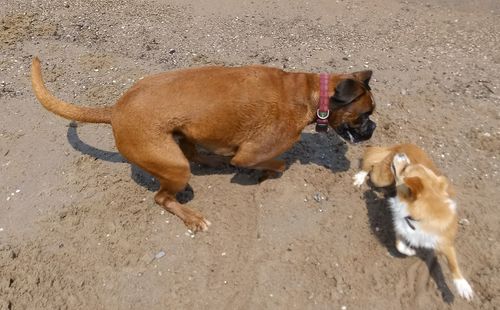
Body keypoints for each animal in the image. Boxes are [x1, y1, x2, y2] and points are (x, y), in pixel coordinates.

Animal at [31, 57, 376, 232]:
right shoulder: (250, 155)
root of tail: (116, 109)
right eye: (365, 115)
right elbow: (277, 162)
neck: (308, 93)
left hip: (181, 140)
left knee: (195, 154)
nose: (372, 130)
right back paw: (191, 216)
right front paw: (268, 173)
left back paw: (213, 159)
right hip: (175, 168)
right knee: (162, 197)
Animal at [352, 145, 472, 300]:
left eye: (405, 169)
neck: (420, 219)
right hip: (381, 177)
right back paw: (360, 176)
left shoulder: (445, 242)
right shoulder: (401, 228)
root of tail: (402, 145)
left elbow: (453, 264)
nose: (401, 155)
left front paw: (463, 286)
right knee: (372, 166)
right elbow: (399, 246)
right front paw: (411, 251)